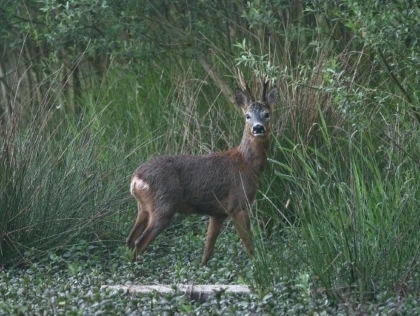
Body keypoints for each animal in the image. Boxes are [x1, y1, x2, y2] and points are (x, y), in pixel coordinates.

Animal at [128, 77, 278, 266]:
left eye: (267, 113)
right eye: (247, 116)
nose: (258, 128)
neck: (247, 164)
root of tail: (136, 179)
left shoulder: (218, 212)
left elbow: (208, 248)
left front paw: (202, 267)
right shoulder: (238, 204)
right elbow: (248, 244)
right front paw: (259, 265)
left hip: (143, 208)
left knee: (130, 240)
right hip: (163, 205)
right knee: (139, 243)